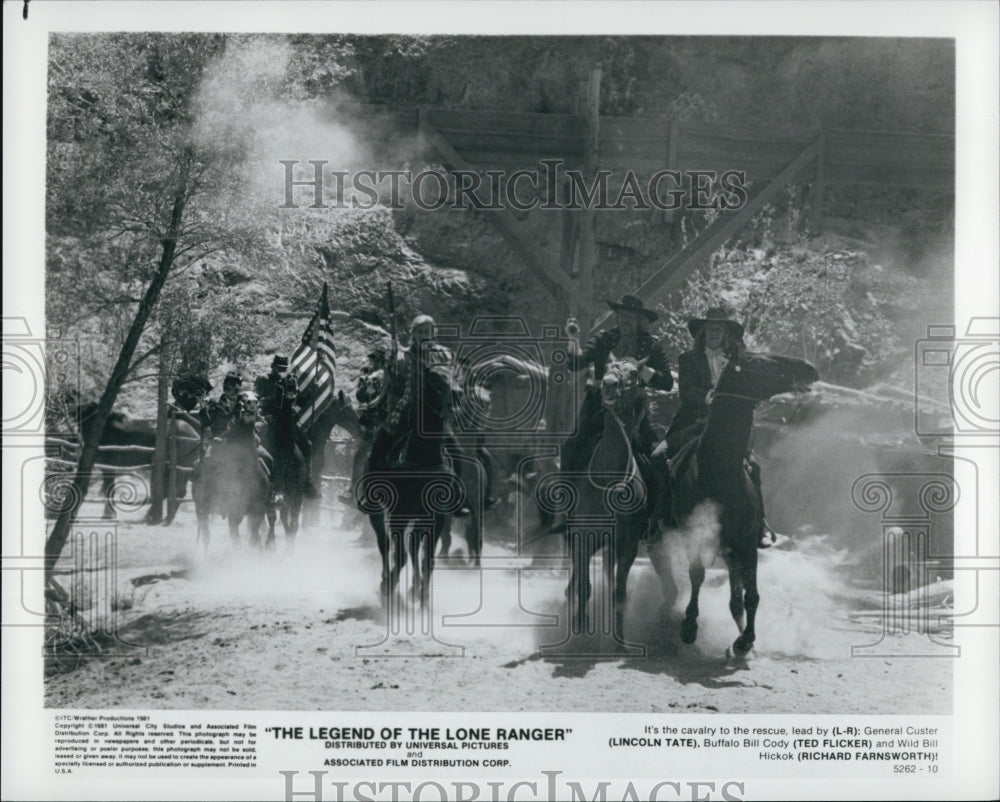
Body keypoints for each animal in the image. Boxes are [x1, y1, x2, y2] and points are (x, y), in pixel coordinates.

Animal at [189, 392, 270, 552]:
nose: (252, 402)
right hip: (202, 509)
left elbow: (252, 537)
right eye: (241, 397)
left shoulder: (255, 511)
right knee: (206, 536)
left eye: (257, 397)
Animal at [660, 352, 816, 656]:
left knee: (736, 598)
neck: (719, 471)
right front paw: (689, 626)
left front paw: (746, 640)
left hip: (732, 551)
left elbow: (751, 594)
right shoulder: (696, 534)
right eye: (763, 361)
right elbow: (697, 575)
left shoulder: (746, 543)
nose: (810, 368)